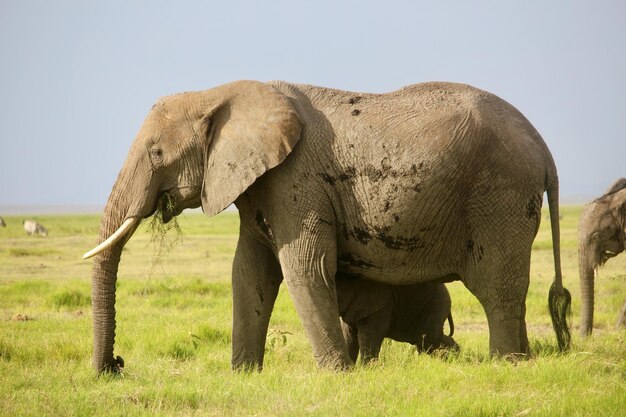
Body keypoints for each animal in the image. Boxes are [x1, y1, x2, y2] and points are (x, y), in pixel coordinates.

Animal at [84, 79, 572, 372]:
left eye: (156, 154)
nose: (117, 366)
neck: (222, 92)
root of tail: (545, 150)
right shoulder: (261, 186)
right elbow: (248, 274)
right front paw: (244, 374)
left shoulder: (295, 180)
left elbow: (305, 267)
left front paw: (337, 375)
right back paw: (523, 361)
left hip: (501, 196)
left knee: (497, 288)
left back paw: (508, 365)